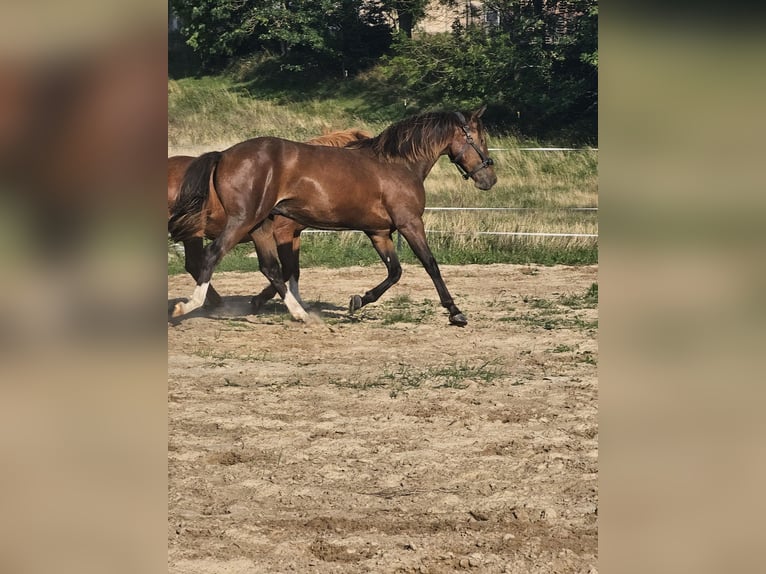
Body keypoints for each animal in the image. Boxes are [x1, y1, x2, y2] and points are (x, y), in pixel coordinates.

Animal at [167, 129, 372, 308]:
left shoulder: (294, 235)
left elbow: (294, 269)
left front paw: (298, 303)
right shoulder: (282, 233)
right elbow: (287, 268)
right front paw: (261, 299)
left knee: (193, 263)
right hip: (194, 232)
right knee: (197, 262)